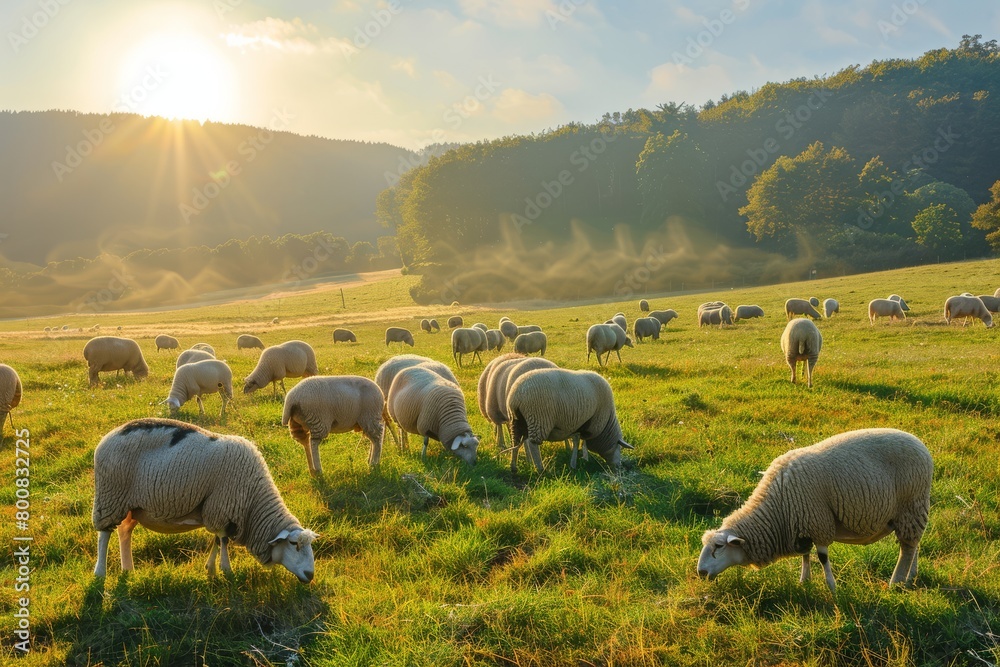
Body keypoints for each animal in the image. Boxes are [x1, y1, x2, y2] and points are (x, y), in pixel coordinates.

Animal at [92, 418, 318, 582]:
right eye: (293, 544)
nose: (310, 576)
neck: (253, 501)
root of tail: (107, 436)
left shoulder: (216, 511)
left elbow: (217, 539)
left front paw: (210, 569)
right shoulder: (223, 507)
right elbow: (223, 540)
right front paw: (226, 570)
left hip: (131, 505)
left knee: (124, 531)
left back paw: (128, 569)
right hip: (110, 496)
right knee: (104, 535)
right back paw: (100, 573)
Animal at [698, 428, 932, 594]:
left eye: (718, 546)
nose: (700, 573)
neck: (777, 508)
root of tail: (921, 445)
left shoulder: (818, 522)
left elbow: (822, 557)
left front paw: (831, 587)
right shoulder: (802, 524)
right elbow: (805, 554)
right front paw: (805, 581)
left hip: (911, 505)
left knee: (907, 548)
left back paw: (896, 582)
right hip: (911, 511)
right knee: (913, 545)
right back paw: (911, 576)